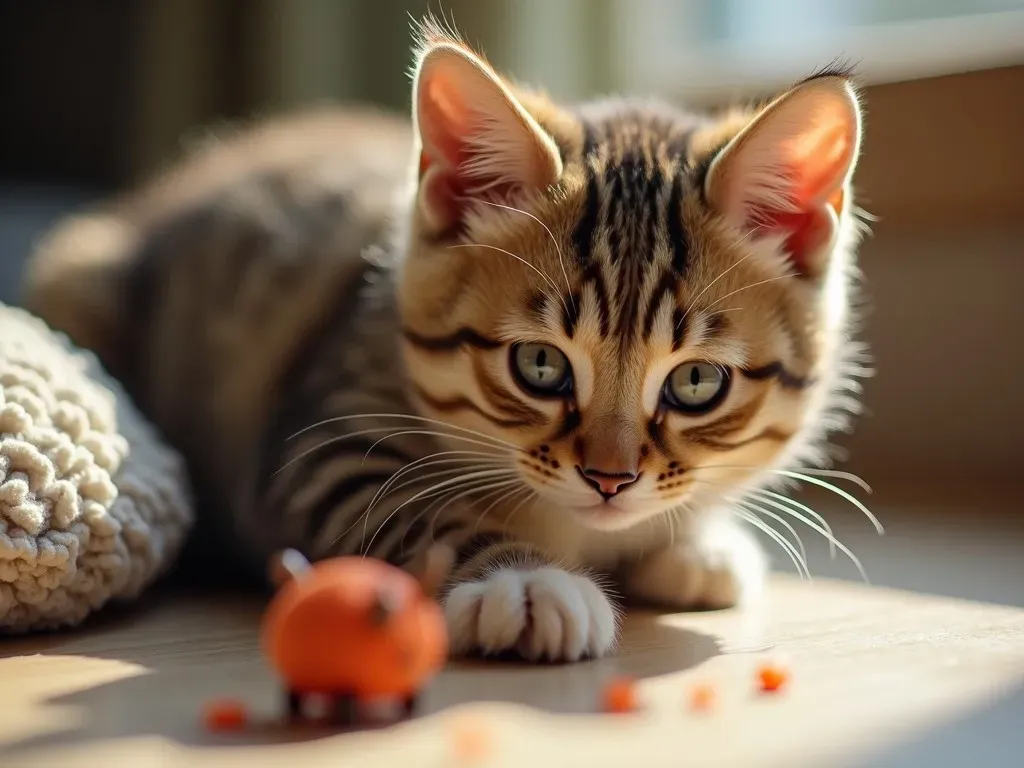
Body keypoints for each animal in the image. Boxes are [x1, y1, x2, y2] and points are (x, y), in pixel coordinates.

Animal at [25, 20, 864, 663]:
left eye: (695, 384)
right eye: (540, 365)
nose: (610, 480)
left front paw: (695, 544)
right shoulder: (320, 446)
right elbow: (423, 514)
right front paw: (522, 581)